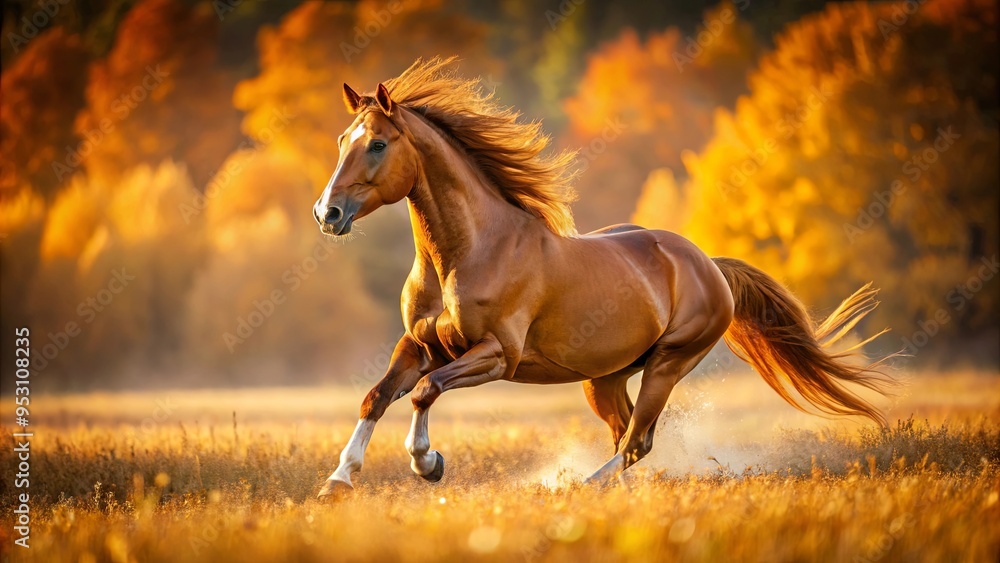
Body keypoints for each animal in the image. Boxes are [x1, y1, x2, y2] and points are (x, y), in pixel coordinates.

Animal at [311, 57, 893, 499]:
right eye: (342, 139)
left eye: (378, 144)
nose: (327, 213)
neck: (469, 252)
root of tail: (708, 265)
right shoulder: (420, 345)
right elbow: (377, 397)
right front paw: (338, 482)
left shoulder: (496, 356)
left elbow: (424, 392)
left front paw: (427, 463)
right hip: (605, 377)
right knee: (625, 435)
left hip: (668, 363)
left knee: (636, 442)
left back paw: (580, 487)